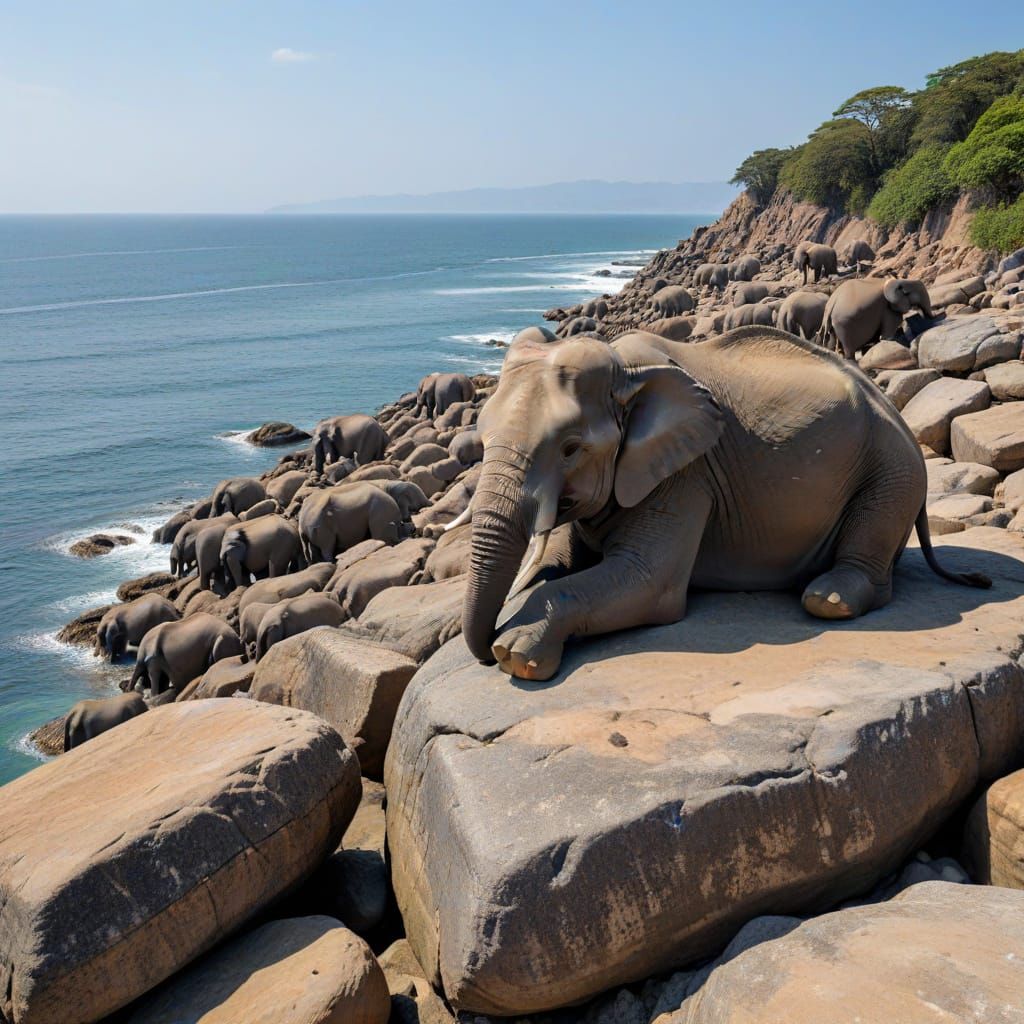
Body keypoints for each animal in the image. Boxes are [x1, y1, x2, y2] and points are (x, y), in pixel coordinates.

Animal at [461, 328, 990, 681]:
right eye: (481, 434)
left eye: (570, 448)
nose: (483, 654)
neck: (627, 373)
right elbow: (560, 560)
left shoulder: (687, 476)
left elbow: (647, 582)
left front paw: (515, 652)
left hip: (893, 468)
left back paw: (830, 596)